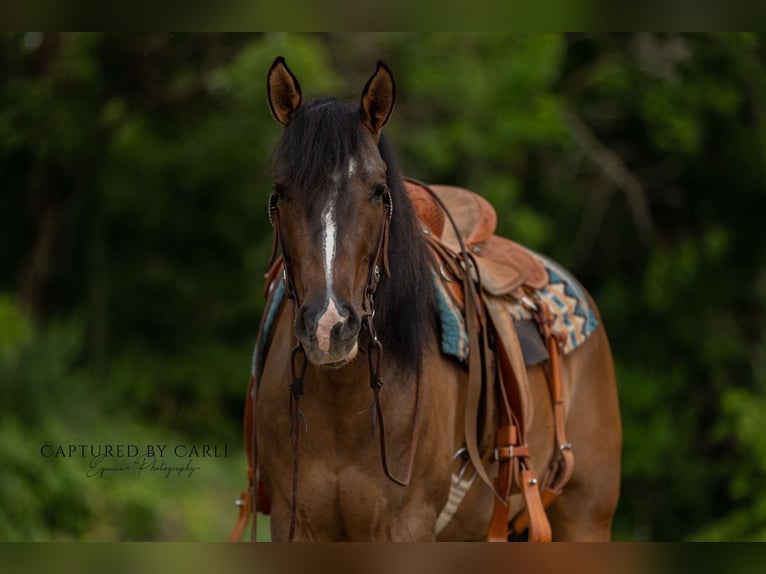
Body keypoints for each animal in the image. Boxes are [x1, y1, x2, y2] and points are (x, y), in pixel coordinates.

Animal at [244, 57, 621, 542]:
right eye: (281, 191)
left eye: (378, 190)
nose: (329, 328)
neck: (343, 404)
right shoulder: (297, 525)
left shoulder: (408, 526)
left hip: (585, 519)